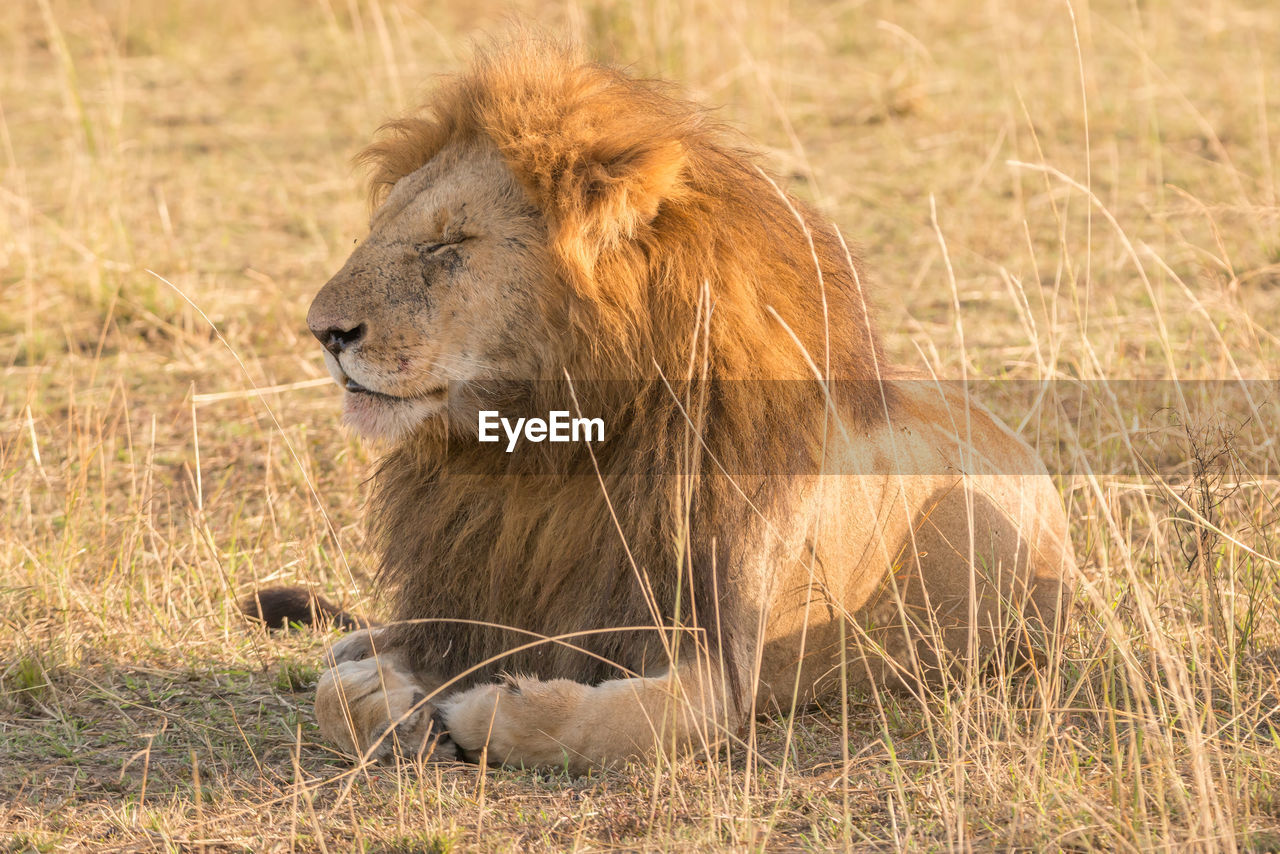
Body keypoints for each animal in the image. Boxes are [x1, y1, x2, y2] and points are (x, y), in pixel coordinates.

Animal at [262, 41, 1080, 773]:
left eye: (448, 243)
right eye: (380, 233)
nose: (323, 331)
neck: (546, 458)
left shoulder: (718, 665)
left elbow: (611, 723)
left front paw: (481, 710)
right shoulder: (475, 599)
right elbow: (336, 695)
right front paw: (381, 696)